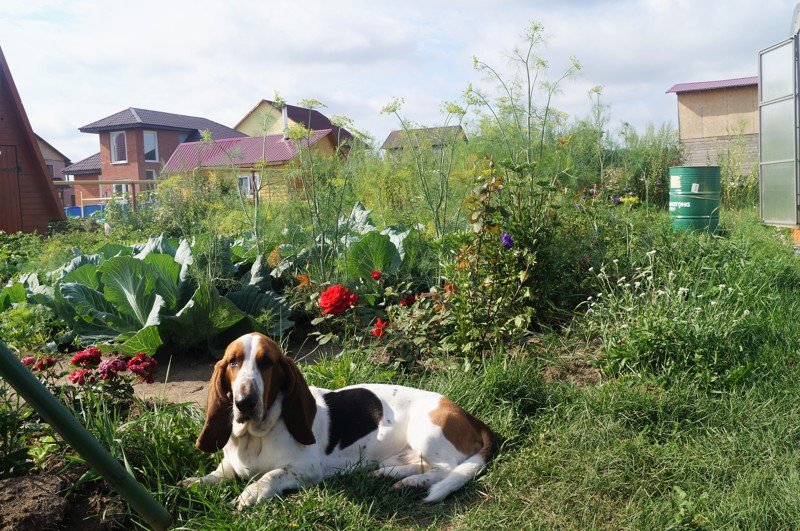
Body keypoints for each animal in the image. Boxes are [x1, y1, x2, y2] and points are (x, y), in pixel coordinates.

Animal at [180, 332, 494, 512]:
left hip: (425, 431)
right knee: (424, 466)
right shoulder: (229, 465)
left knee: (446, 470)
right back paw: (392, 475)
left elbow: (271, 475)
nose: (244, 402)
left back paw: (414, 483)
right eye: (233, 362)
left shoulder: (306, 470)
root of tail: (470, 417)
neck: (256, 435)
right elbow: (215, 475)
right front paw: (191, 484)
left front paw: (252, 493)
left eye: (266, 362)